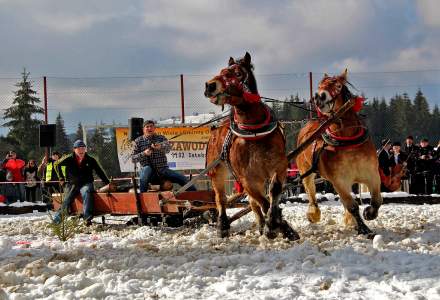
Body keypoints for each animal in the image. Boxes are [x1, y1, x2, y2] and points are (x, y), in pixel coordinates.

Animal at [204, 51, 300, 239]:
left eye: (237, 73)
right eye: (222, 71)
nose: (210, 85)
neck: (253, 131)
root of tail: (214, 130)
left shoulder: (279, 166)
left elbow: (273, 192)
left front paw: (277, 224)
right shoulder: (247, 178)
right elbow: (263, 202)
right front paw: (277, 225)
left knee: (253, 203)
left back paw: (262, 225)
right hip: (216, 171)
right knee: (221, 198)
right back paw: (223, 225)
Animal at [296, 70, 382, 237]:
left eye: (338, 85)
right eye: (319, 86)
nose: (319, 96)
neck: (348, 141)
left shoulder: (372, 174)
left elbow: (376, 200)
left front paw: (369, 213)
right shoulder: (339, 180)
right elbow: (352, 206)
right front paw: (364, 229)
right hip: (305, 171)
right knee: (311, 192)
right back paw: (314, 213)